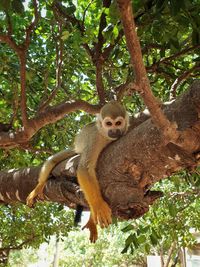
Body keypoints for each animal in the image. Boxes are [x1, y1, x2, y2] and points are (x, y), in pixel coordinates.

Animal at [26, 101, 130, 243]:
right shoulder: (95, 139)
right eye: (109, 123)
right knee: (52, 161)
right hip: (76, 150)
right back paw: (39, 186)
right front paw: (98, 205)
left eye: (118, 123)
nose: (113, 131)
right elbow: (85, 169)